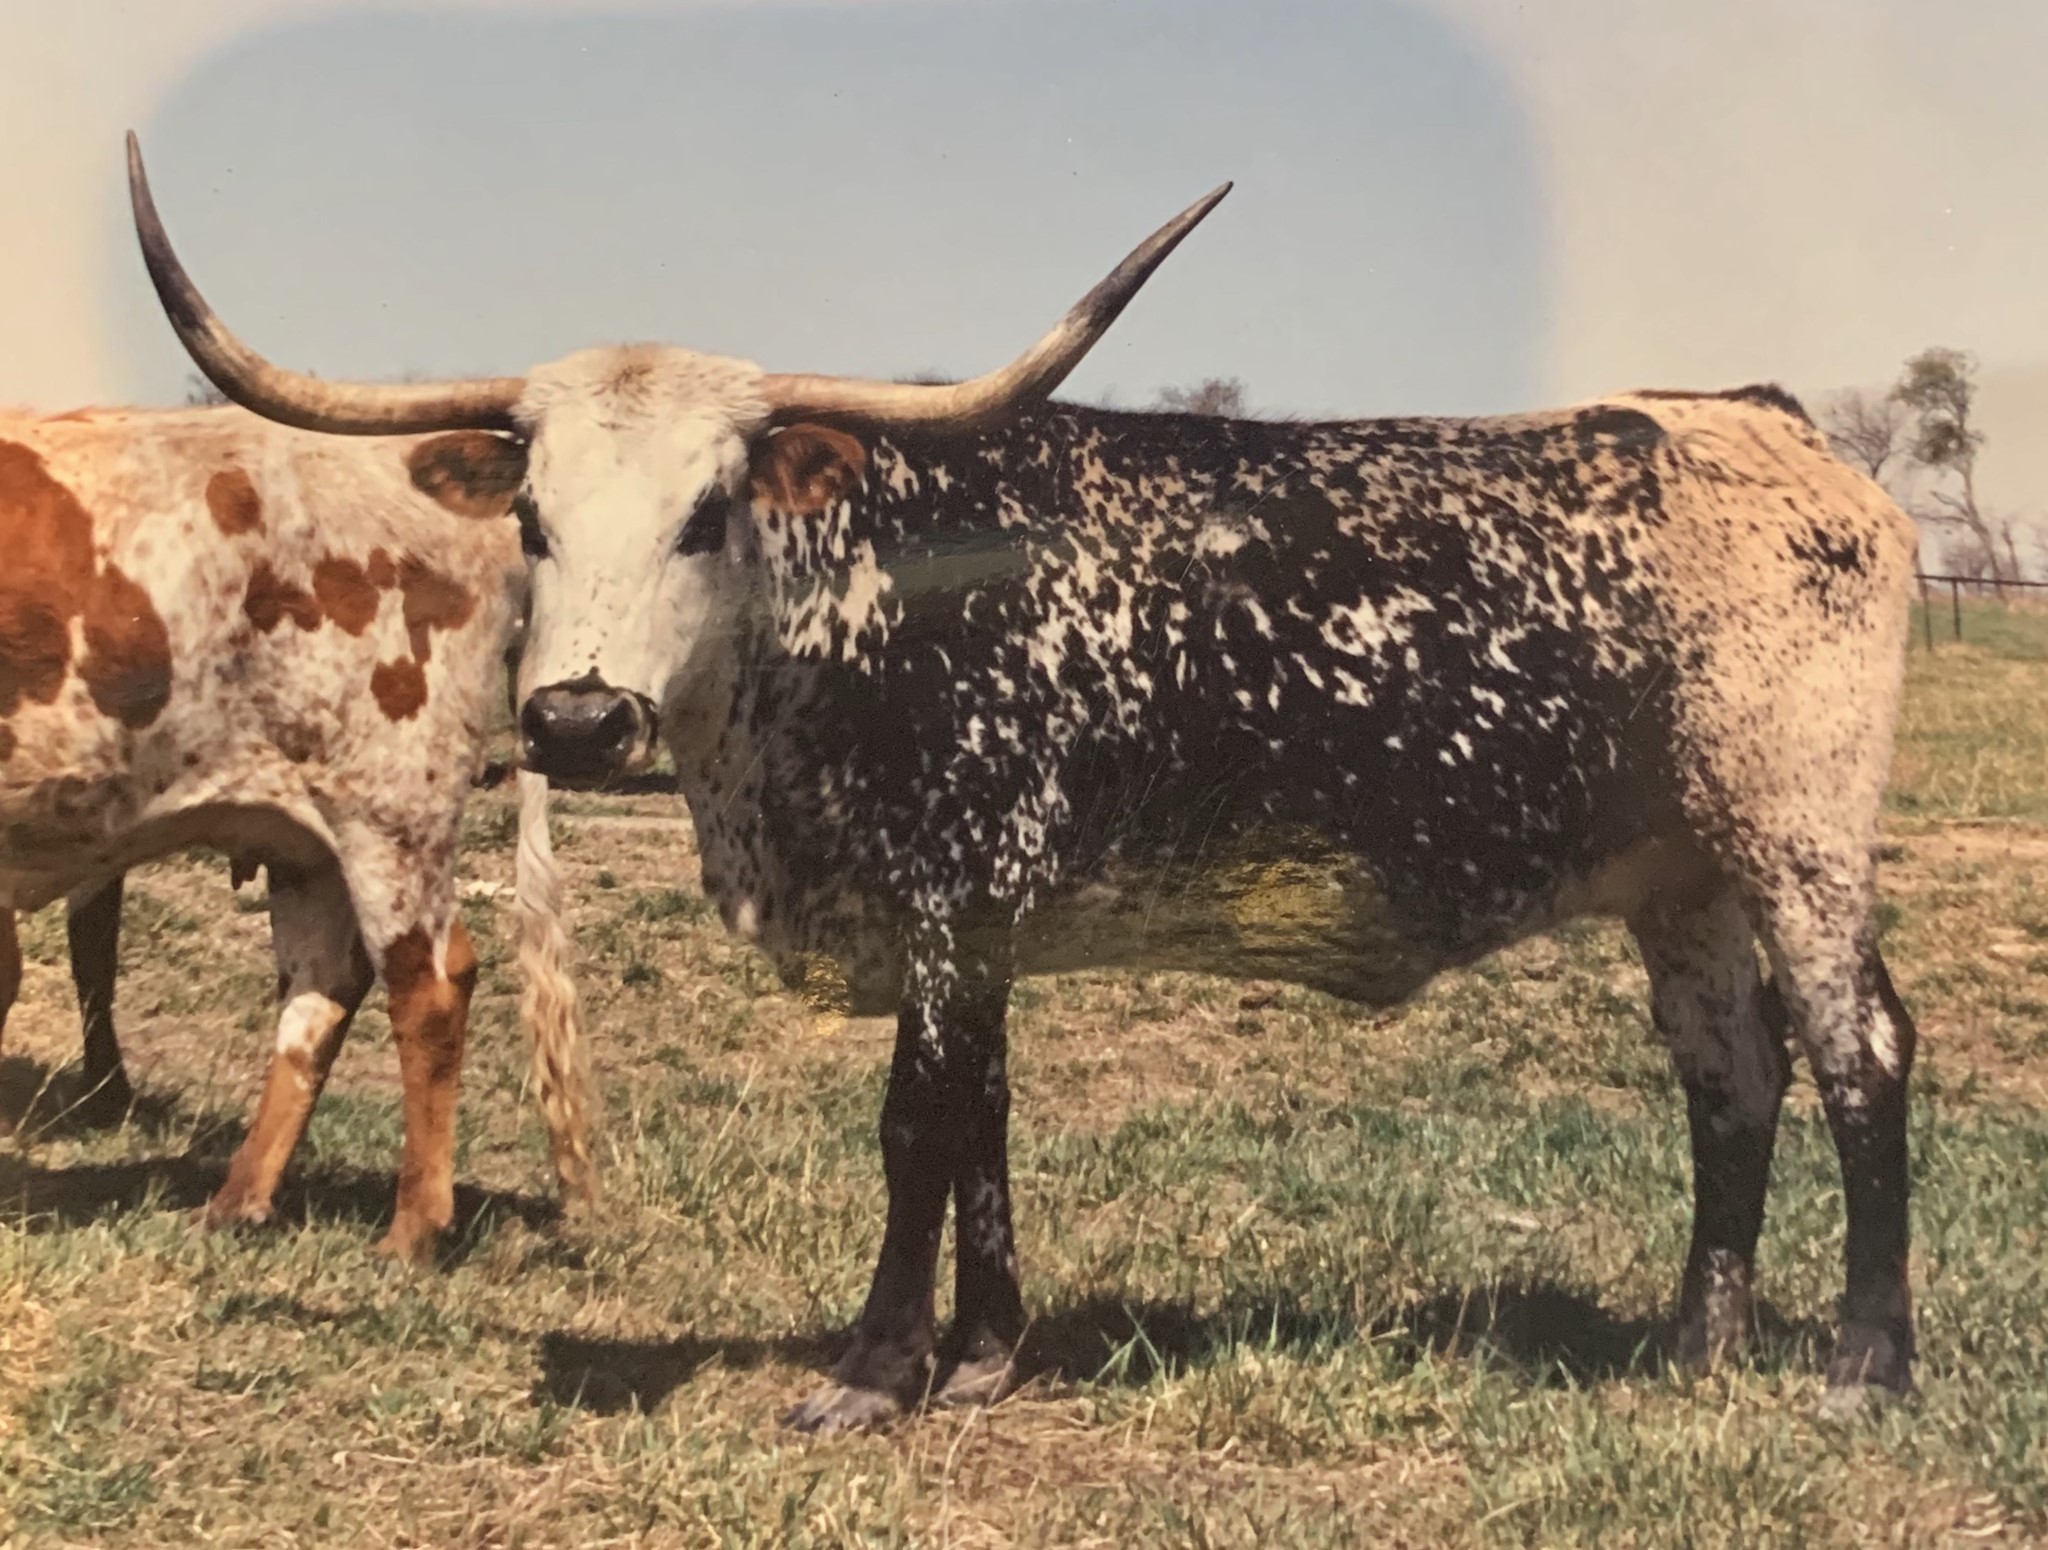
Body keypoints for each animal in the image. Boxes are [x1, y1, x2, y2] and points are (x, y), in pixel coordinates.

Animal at [0, 381, 594, 1261]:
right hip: (307, 837)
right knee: (319, 991)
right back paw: (236, 1201)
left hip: (391, 808)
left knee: (430, 983)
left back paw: (413, 1230)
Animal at [128, 134, 1922, 1432]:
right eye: (531, 516)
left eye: (709, 511)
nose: (572, 720)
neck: (863, 594)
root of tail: (1773, 429)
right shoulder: (979, 922)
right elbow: (984, 1112)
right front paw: (983, 1350)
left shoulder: (949, 889)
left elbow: (916, 1119)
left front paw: (872, 1371)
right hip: (1680, 874)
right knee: (1727, 1073)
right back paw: (1697, 1340)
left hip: (1799, 838)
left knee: (1859, 1055)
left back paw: (1862, 1364)